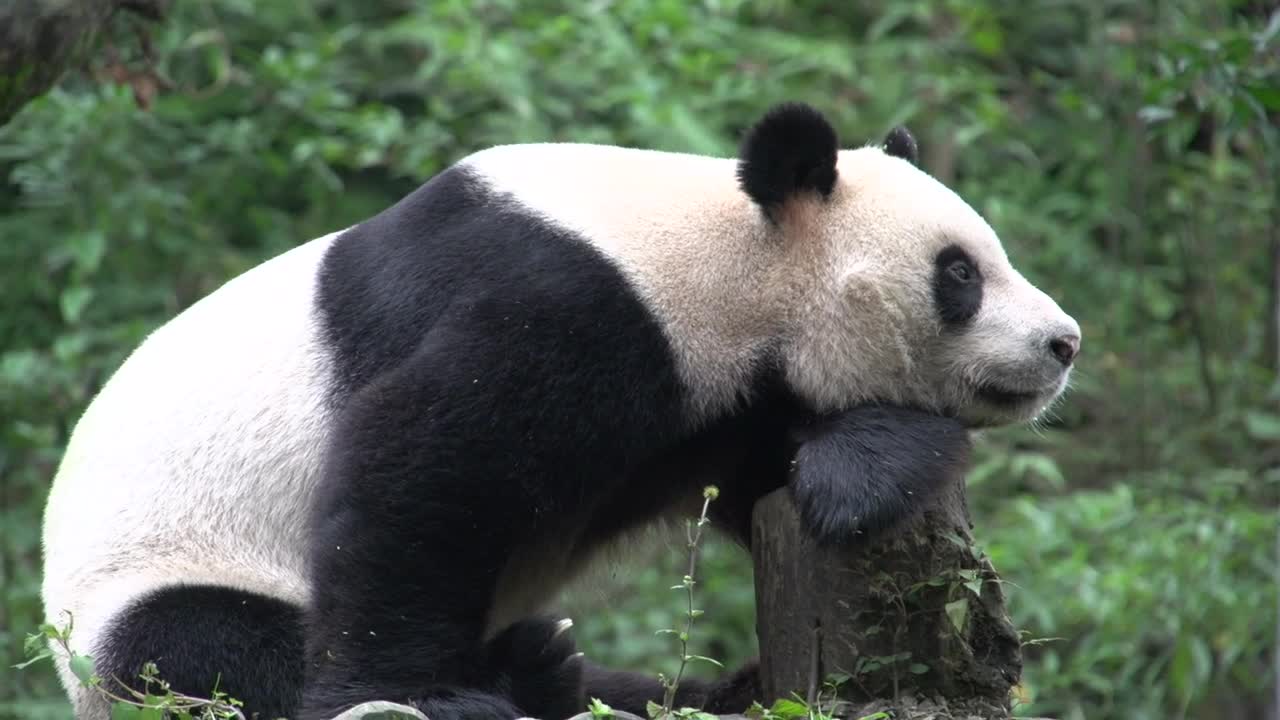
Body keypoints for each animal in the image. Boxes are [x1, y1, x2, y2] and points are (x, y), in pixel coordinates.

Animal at [41, 102, 1080, 720]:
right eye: (960, 274)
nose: (1062, 342)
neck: (719, 254)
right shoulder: (566, 297)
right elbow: (423, 460)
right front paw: (402, 688)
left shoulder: (712, 402)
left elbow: (766, 470)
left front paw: (860, 469)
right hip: (151, 584)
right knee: (212, 654)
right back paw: (511, 680)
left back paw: (678, 685)